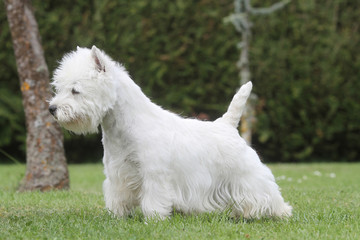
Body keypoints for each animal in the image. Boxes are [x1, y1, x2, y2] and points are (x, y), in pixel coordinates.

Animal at [49, 46, 292, 219]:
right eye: (59, 88)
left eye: (75, 90)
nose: (52, 109)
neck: (123, 128)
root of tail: (227, 125)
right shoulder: (117, 173)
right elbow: (118, 196)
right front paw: (117, 215)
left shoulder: (154, 174)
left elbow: (154, 198)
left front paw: (154, 218)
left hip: (247, 173)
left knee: (267, 192)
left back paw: (282, 213)